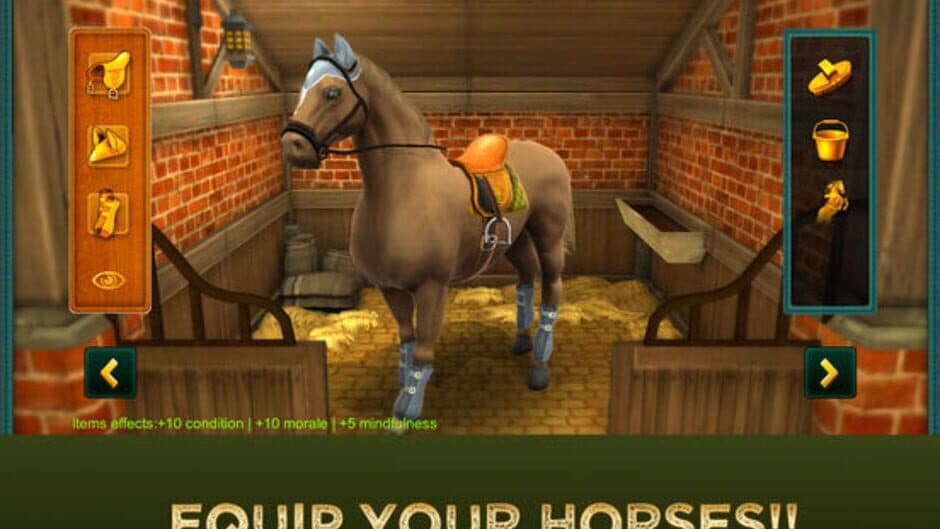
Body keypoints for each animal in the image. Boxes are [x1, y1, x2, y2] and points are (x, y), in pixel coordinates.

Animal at [281, 34, 573, 420]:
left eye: (332, 92)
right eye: (303, 89)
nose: (292, 146)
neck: (401, 191)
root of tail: (550, 154)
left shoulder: (432, 288)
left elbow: (422, 348)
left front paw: (406, 411)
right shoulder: (391, 289)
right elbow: (407, 341)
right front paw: (403, 389)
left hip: (548, 236)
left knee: (552, 289)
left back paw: (539, 367)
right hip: (516, 241)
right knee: (526, 280)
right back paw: (521, 342)